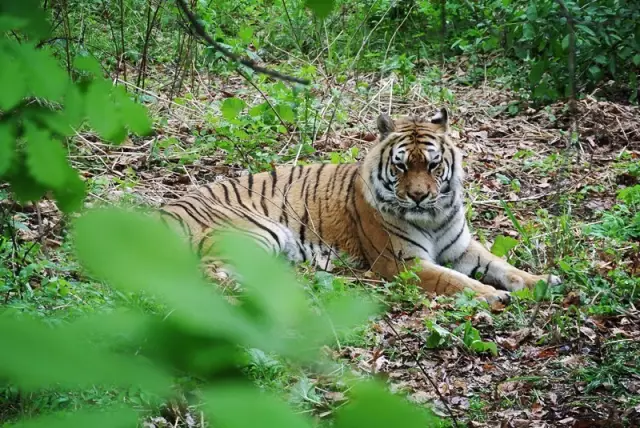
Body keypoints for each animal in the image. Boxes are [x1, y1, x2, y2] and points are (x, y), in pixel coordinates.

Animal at [160, 108, 560, 302]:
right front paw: (494, 297)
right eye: (401, 166)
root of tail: (162, 212)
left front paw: (543, 281)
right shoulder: (402, 263)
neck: (432, 217)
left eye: (433, 165)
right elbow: (456, 281)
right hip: (256, 232)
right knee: (210, 276)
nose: (419, 196)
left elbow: (505, 267)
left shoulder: (462, 248)